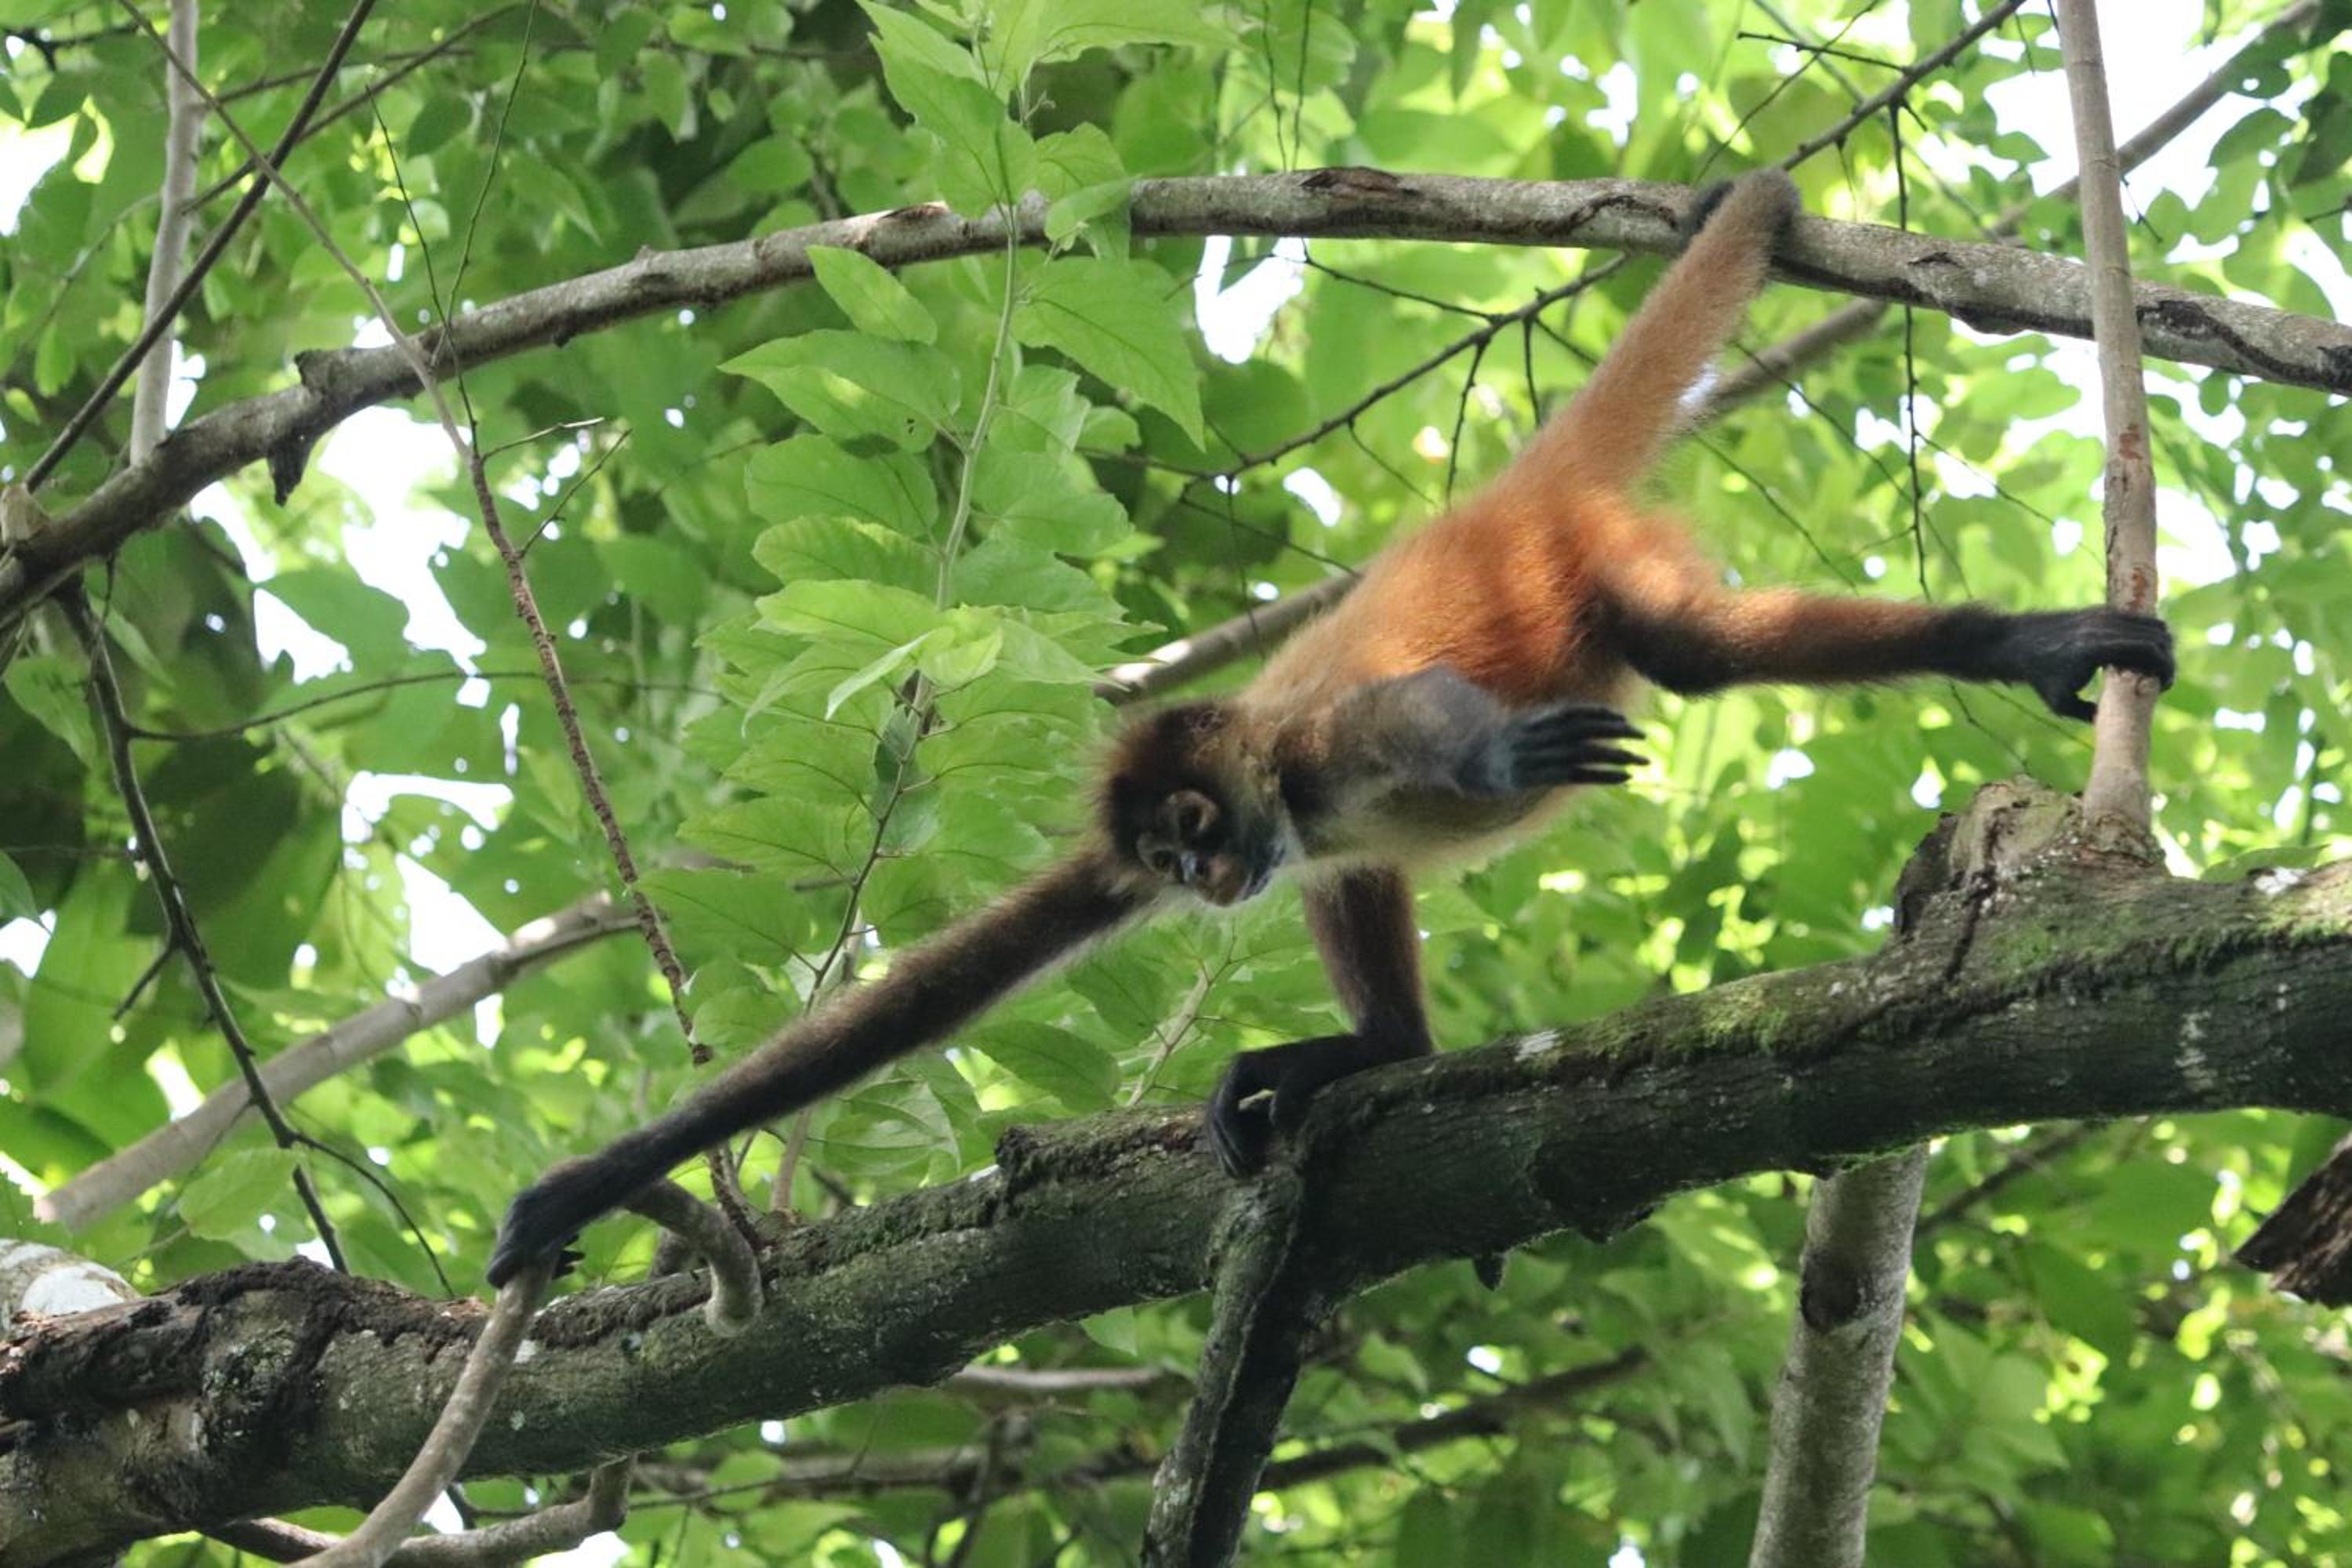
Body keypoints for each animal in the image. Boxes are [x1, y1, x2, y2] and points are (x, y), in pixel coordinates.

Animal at [485, 169, 2174, 1285]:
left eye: (1192, 831)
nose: (1205, 876)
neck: (1271, 784)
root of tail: (1503, 502)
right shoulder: (1147, 850)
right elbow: (918, 1000)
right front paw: (586, 1186)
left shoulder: (1311, 745)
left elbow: (1430, 723)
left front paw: (1493, 761)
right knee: (1364, 880)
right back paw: (1371, 1053)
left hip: (1601, 563)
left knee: (1682, 654)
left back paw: (2013, 645)